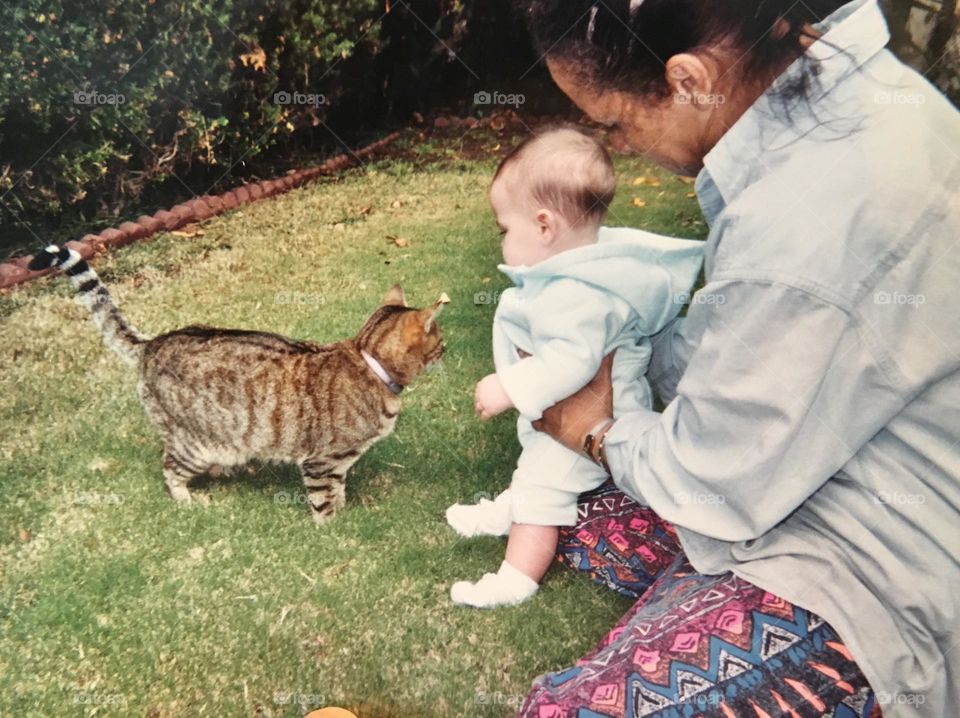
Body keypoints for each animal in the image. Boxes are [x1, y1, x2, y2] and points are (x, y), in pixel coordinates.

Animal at [30, 246, 446, 524]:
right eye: (440, 339)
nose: (448, 347)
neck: (369, 360)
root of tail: (153, 343)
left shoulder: (337, 463)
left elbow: (338, 488)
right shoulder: (321, 460)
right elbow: (324, 499)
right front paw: (335, 527)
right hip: (192, 444)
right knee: (169, 468)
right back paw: (187, 499)